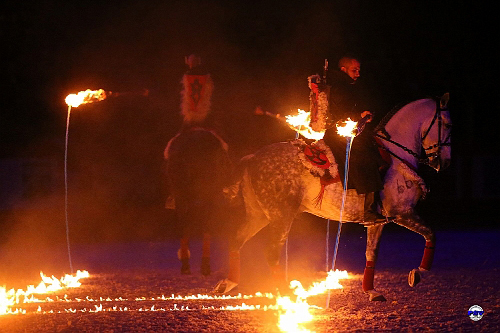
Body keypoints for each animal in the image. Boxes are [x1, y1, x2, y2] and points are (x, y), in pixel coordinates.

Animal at [217, 93, 452, 300]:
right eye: (448, 125)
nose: (445, 163)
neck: (395, 156)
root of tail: (251, 158)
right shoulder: (403, 212)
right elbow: (431, 234)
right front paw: (418, 273)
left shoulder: (378, 223)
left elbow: (371, 255)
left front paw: (371, 291)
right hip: (281, 217)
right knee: (271, 252)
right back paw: (286, 295)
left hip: (259, 215)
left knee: (237, 240)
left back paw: (227, 283)